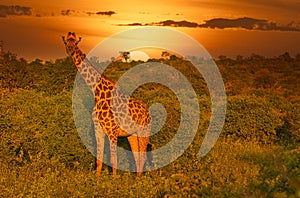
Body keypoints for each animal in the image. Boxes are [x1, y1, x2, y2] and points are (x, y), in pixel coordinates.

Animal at [62, 32, 152, 176]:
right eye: (66, 42)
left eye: (75, 42)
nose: (70, 50)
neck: (98, 93)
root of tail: (148, 113)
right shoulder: (98, 129)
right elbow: (98, 160)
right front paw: (97, 179)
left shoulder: (112, 131)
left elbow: (113, 159)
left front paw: (113, 180)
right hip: (132, 134)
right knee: (137, 156)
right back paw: (137, 179)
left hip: (144, 130)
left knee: (142, 156)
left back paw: (140, 180)